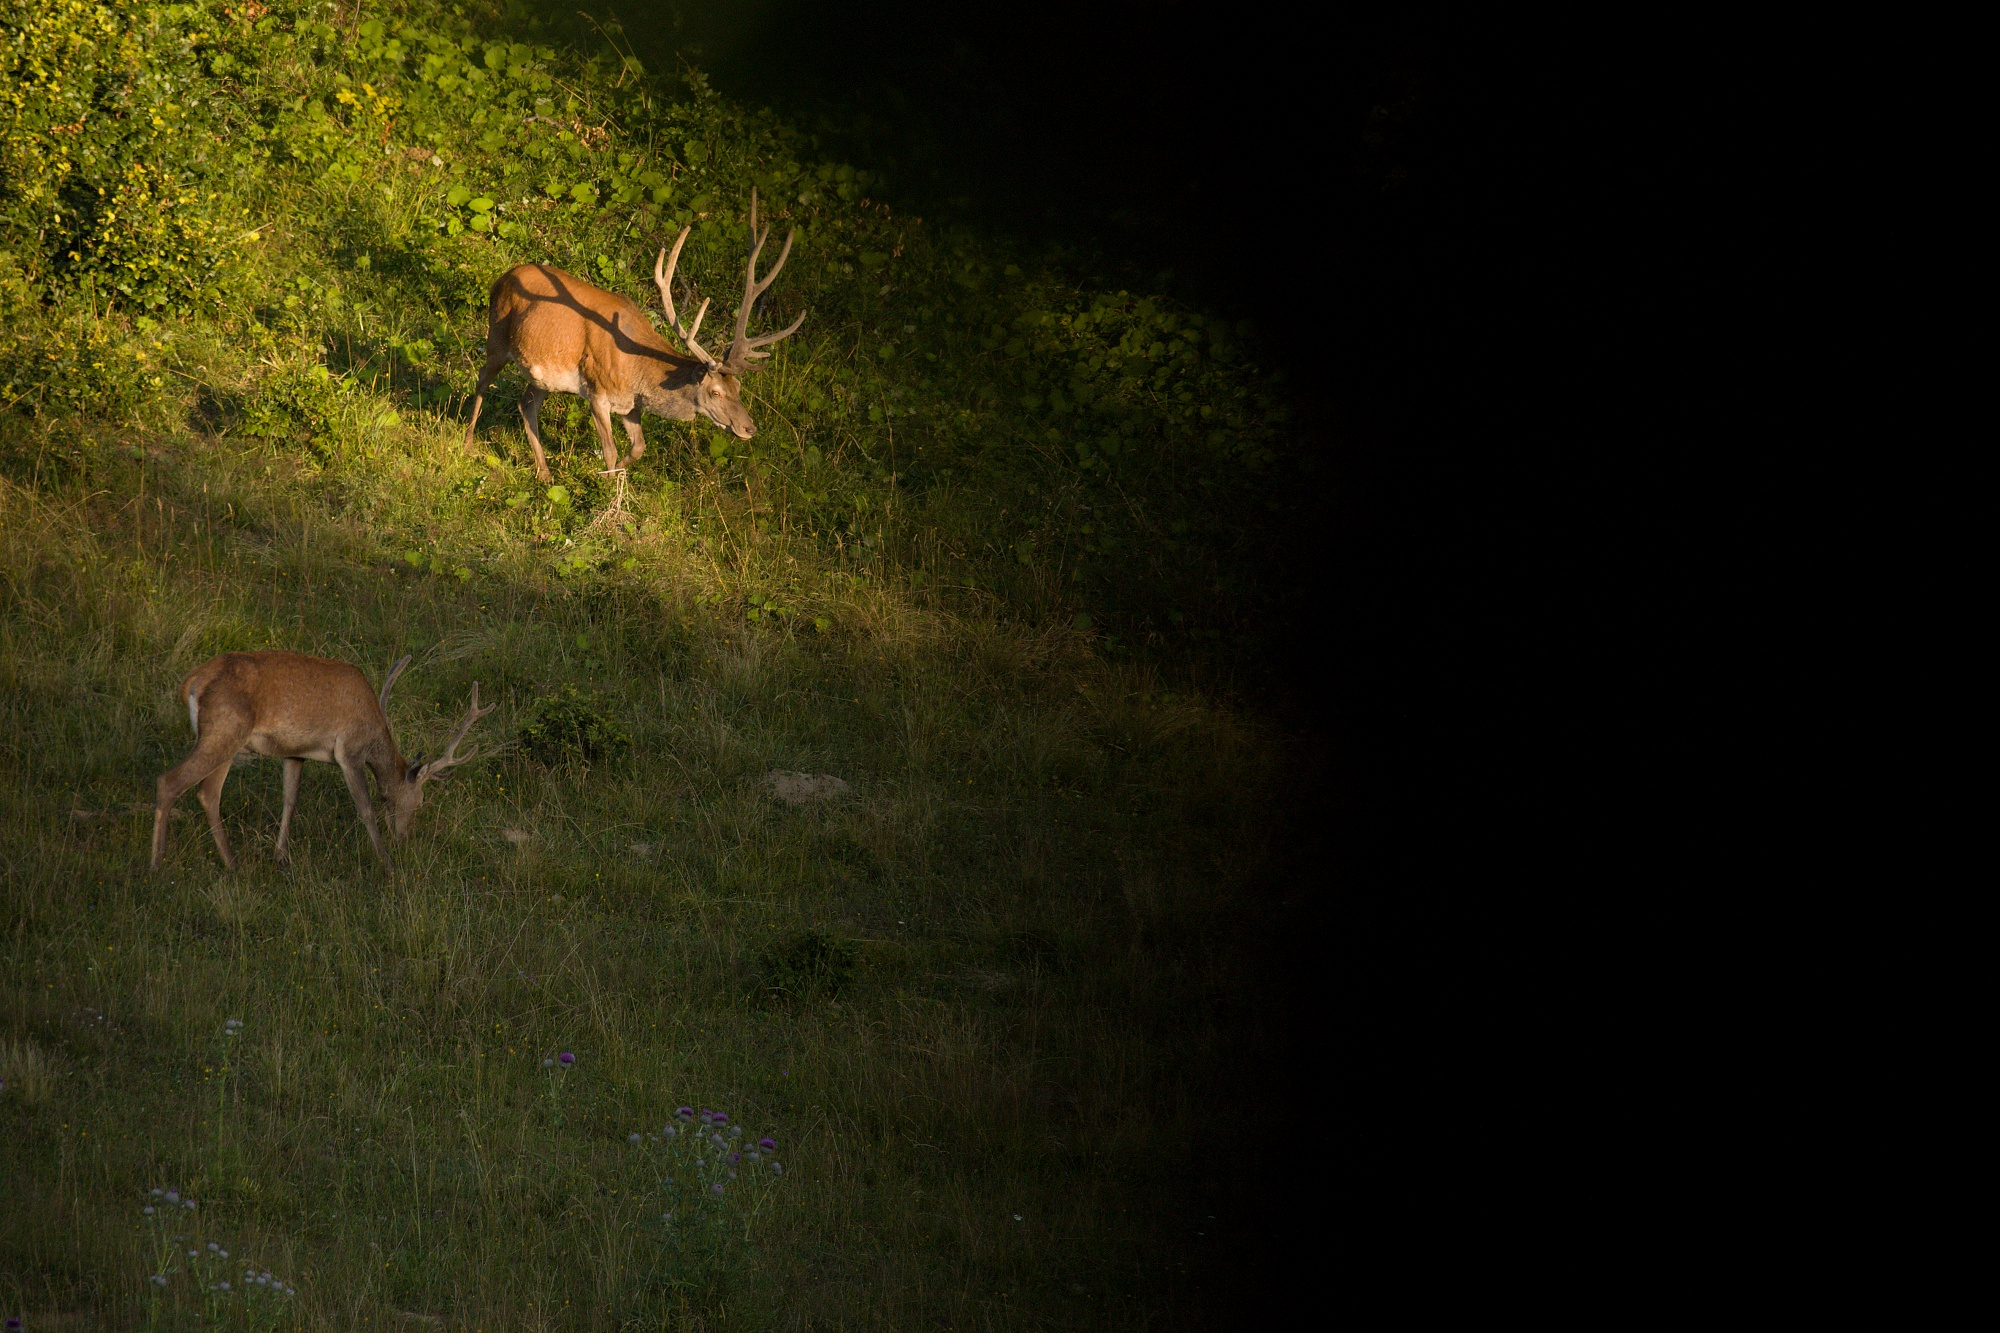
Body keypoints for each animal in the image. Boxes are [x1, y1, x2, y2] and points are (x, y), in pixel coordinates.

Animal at [149, 644, 492, 872]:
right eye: (419, 801)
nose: (404, 839)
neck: (374, 729)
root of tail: (192, 681)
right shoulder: (349, 751)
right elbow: (365, 808)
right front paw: (387, 862)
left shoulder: (294, 753)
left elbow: (290, 800)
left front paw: (281, 856)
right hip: (224, 732)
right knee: (171, 782)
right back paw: (158, 865)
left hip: (224, 740)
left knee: (207, 793)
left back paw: (232, 863)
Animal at [466, 184, 804, 480]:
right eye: (715, 392)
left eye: (739, 388)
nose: (749, 428)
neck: (636, 370)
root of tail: (502, 277)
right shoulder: (597, 392)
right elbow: (611, 450)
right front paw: (607, 487)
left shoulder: (630, 405)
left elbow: (638, 447)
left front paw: (615, 475)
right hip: (497, 337)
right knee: (483, 379)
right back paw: (468, 441)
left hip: (544, 376)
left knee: (526, 404)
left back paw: (545, 473)